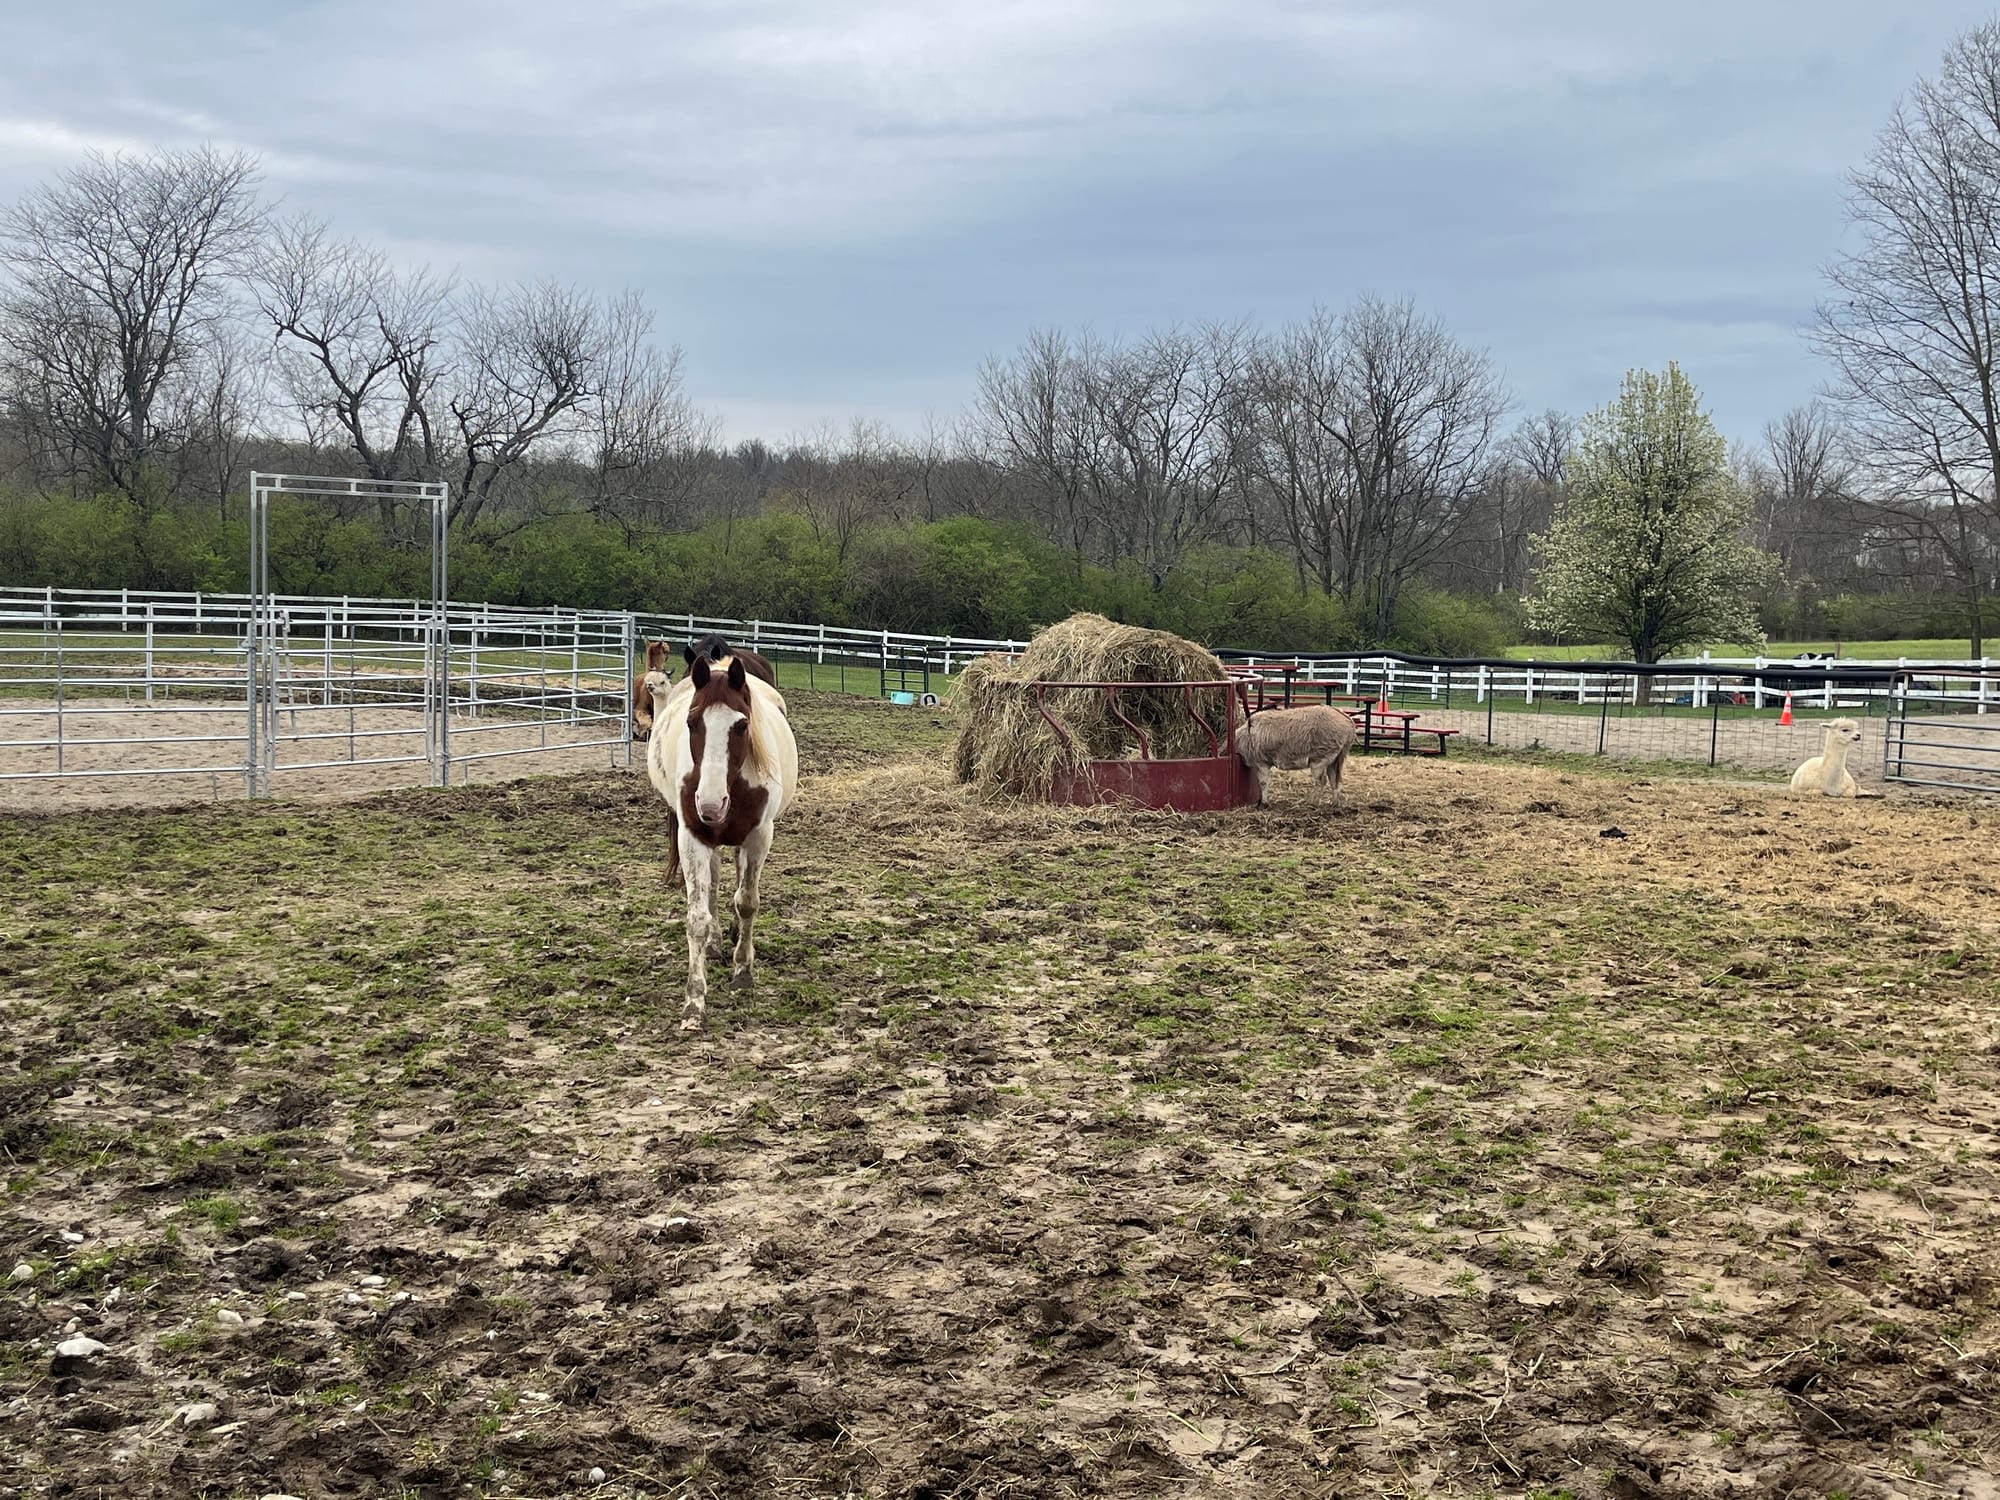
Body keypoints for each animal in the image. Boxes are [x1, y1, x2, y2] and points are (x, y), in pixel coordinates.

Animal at [646, 653, 798, 1030]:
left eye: (741, 726)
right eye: (691, 722)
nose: (711, 806)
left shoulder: (759, 836)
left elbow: (747, 902)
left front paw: (743, 971)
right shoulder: (692, 837)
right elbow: (697, 918)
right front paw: (694, 1002)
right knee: (714, 882)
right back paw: (716, 940)